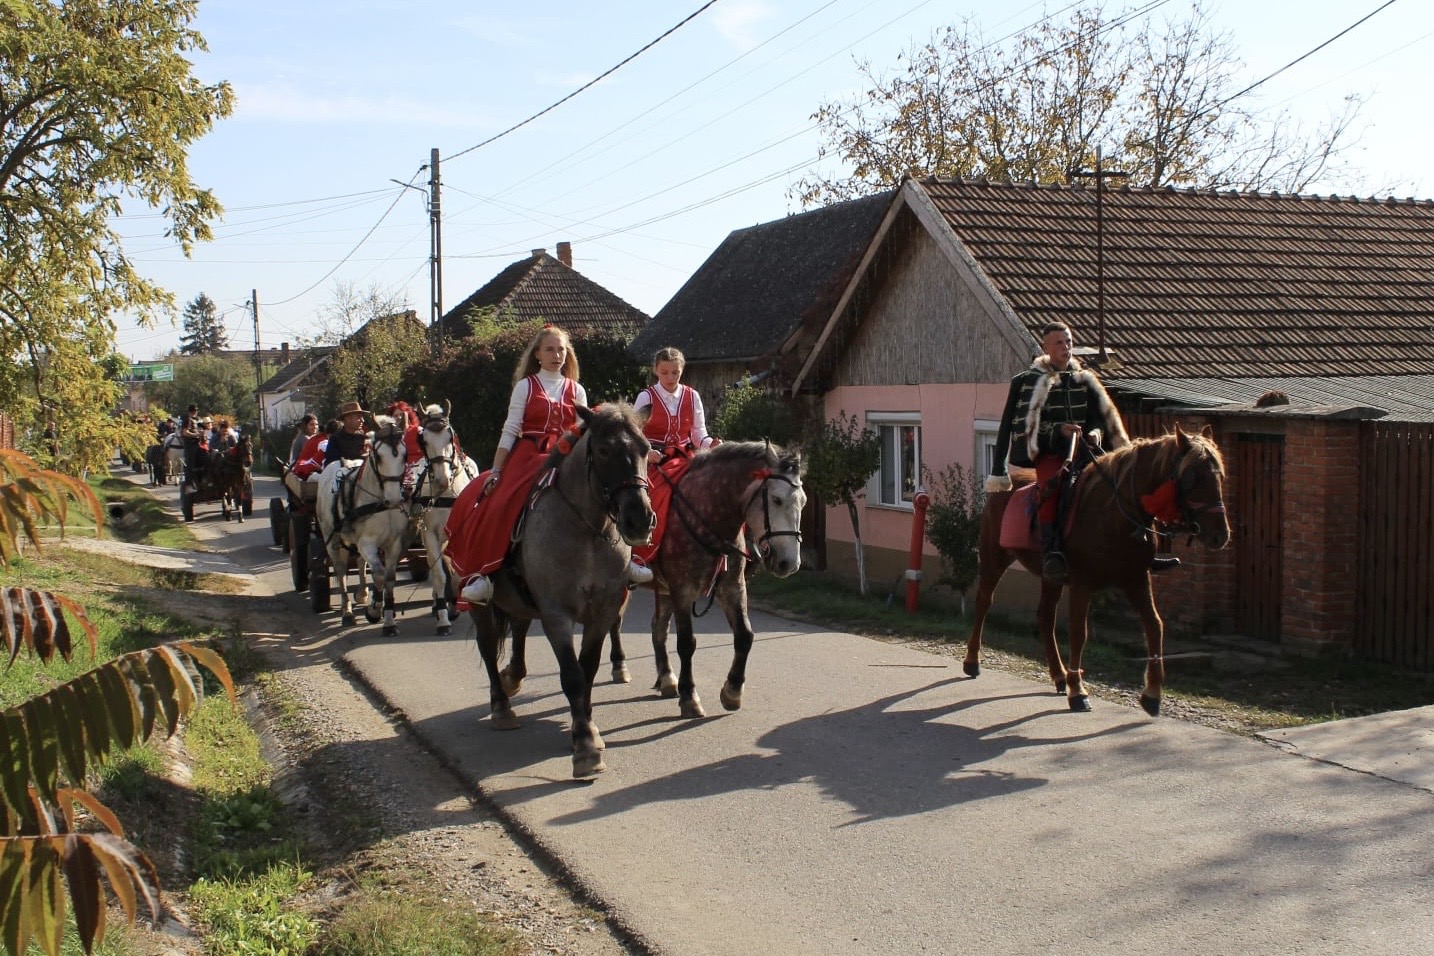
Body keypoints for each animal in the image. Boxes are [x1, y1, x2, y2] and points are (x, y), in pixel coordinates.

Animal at [311, 418, 407, 636]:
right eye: (378, 456)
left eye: (405, 455)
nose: (394, 500)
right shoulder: (367, 543)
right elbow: (379, 574)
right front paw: (374, 610)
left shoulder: (393, 544)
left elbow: (389, 577)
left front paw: (389, 622)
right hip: (332, 541)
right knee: (340, 571)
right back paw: (347, 612)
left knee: (361, 563)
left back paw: (362, 593)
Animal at [407, 401, 478, 636]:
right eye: (424, 440)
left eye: (450, 436)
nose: (442, 479)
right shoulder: (429, 535)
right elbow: (439, 574)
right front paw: (443, 619)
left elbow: (456, 570)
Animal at [467, 401, 653, 779]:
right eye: (604, 450)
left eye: (646, 449)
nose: (639, 520)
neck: (588, 530)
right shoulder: (557, 615)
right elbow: (572, 676)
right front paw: (584, 747)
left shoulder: (602, 611)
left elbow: (589, 669)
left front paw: (590, 729)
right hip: (482, 606)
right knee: (488, 645)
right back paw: (501, 706)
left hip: (520, 601)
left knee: (519, 630)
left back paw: (513, 678)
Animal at [969, 427, 1227, 716]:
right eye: (1192, 477)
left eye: (1220, 475)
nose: (1220, 535)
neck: (1115, 514)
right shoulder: (1083, 584)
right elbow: (1079, 632)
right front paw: (1078, 692)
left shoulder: (1137, 579)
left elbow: (1154, 625)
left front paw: (1152, 694)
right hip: (994, 559)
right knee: (984, 602)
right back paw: (972, 662)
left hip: (1051, 578)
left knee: (1045, 617)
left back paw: (1059, 676)